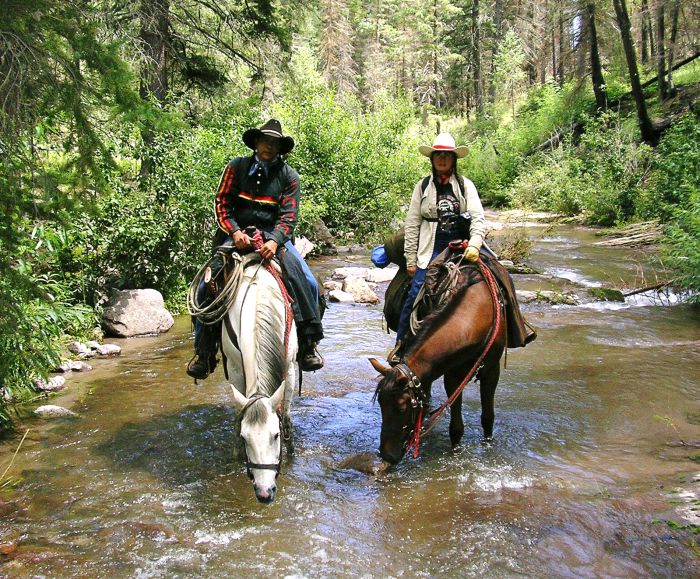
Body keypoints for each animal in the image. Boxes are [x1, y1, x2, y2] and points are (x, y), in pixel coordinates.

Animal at [221, 258, 298, 502]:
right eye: (245, 438)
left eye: (275, 435)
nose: (265, 493)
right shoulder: (235, 369)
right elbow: (238, 414)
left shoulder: (289, 368)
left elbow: (286, 414)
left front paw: (291, 449)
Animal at [370, 260, 506, 466]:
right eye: (380, 403)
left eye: (401, 408)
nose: (387, 455)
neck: (478, 311)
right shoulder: (452, 373)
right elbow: (456, 425)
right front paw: (456, 450)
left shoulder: (491, 370)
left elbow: (488, 417)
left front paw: (487, 445)